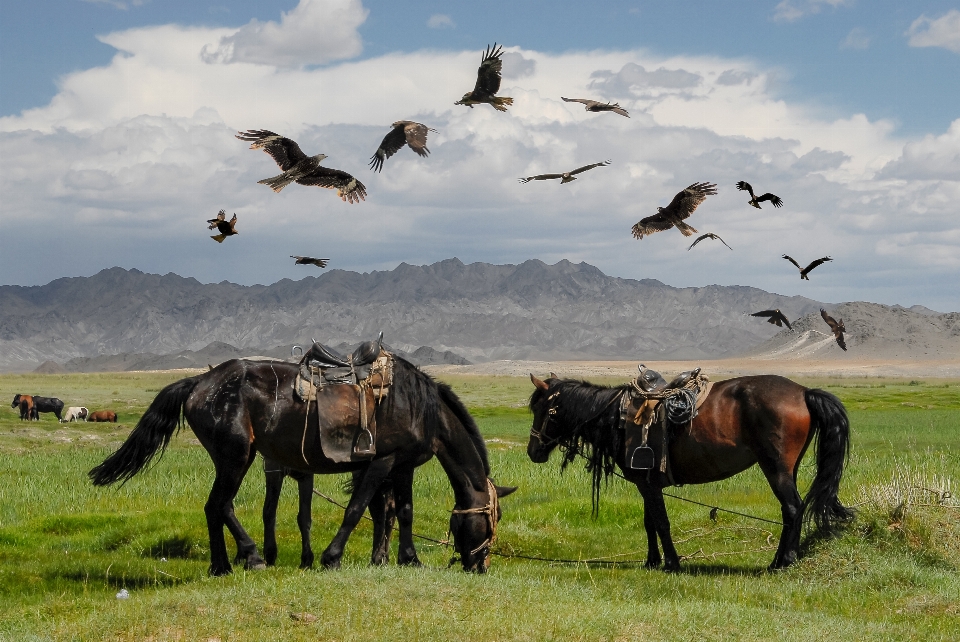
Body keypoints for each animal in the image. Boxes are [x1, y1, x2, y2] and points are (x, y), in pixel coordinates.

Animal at [92, 356, 516, 576]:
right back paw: (244, 559)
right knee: (218, 506)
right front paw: (332, 558)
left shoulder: (403, 466)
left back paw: (228, 563)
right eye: (490, 520)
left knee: (219, 508)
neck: (420, 407)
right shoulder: (382, 462)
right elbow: (356, 509)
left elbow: (405, 511)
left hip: (236, 458)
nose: (480, 566)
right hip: (236, 457)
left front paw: (408, 559)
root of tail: (200, 381)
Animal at [528, 372, 852, 568]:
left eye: (542, 409)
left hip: (775, 469)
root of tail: (803, 392)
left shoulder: (648, 485)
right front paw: (652, 561)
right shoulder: (647, 483)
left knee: (793, 508)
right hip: (789, 469)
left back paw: (782, 561)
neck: (617, 419)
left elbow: (661, 522)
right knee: (793, 509)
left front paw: (671, 563)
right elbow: (649, 522)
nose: (533, 452)